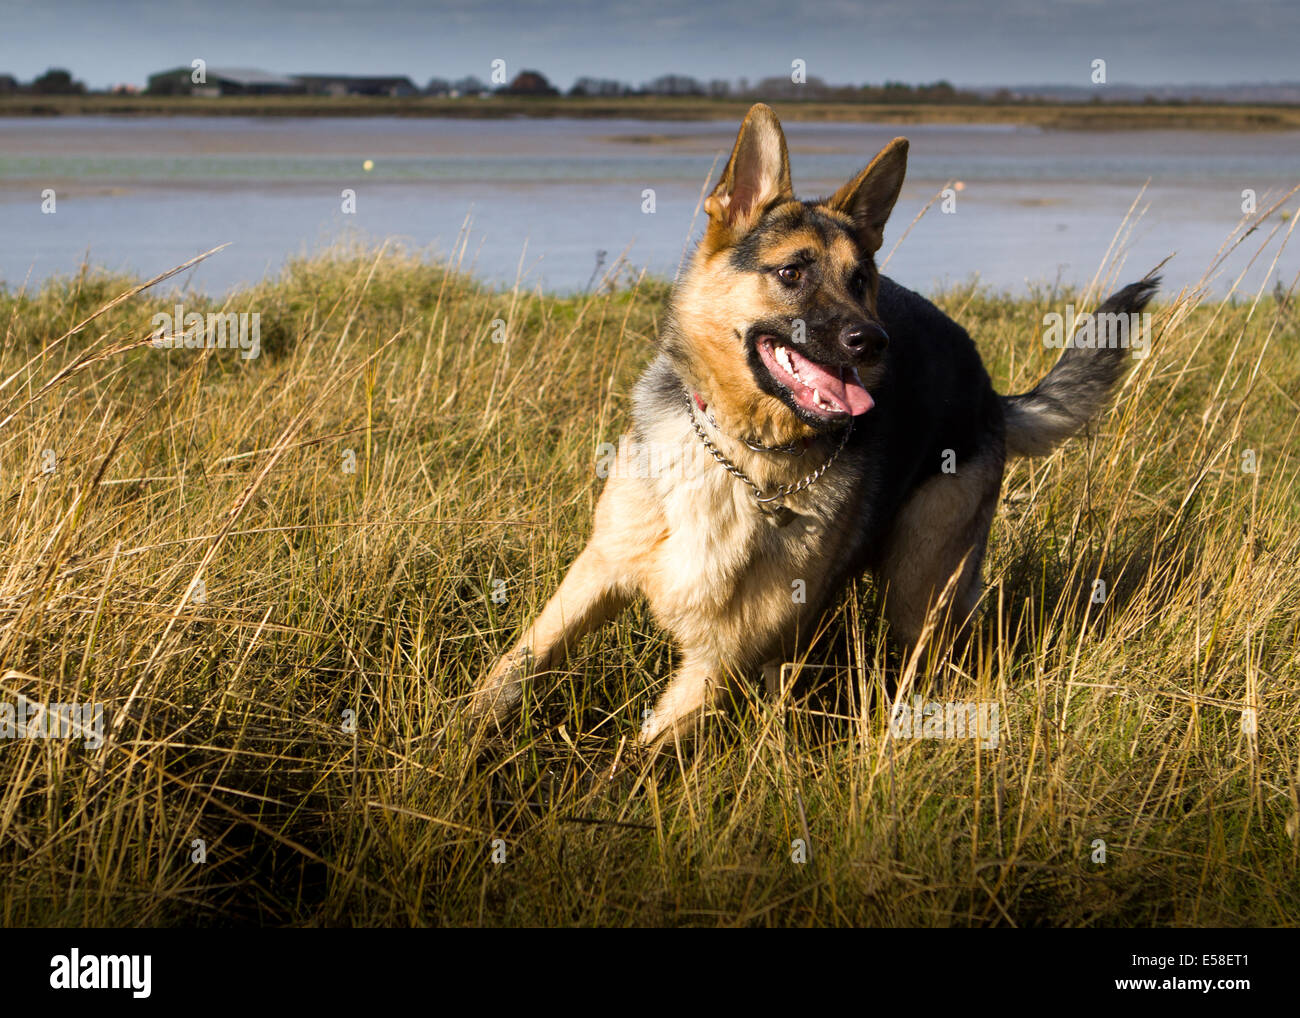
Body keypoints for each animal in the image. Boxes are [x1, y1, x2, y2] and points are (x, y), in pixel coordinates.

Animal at [475, 105, 1159, 748]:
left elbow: (635, 770)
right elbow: (515, 668)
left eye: (860, 280)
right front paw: (463, 735)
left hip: (918, 590)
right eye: (791, 273)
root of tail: (989, 387)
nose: (874, 342)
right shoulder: (596, 576)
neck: (743, 454)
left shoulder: (717, 662)